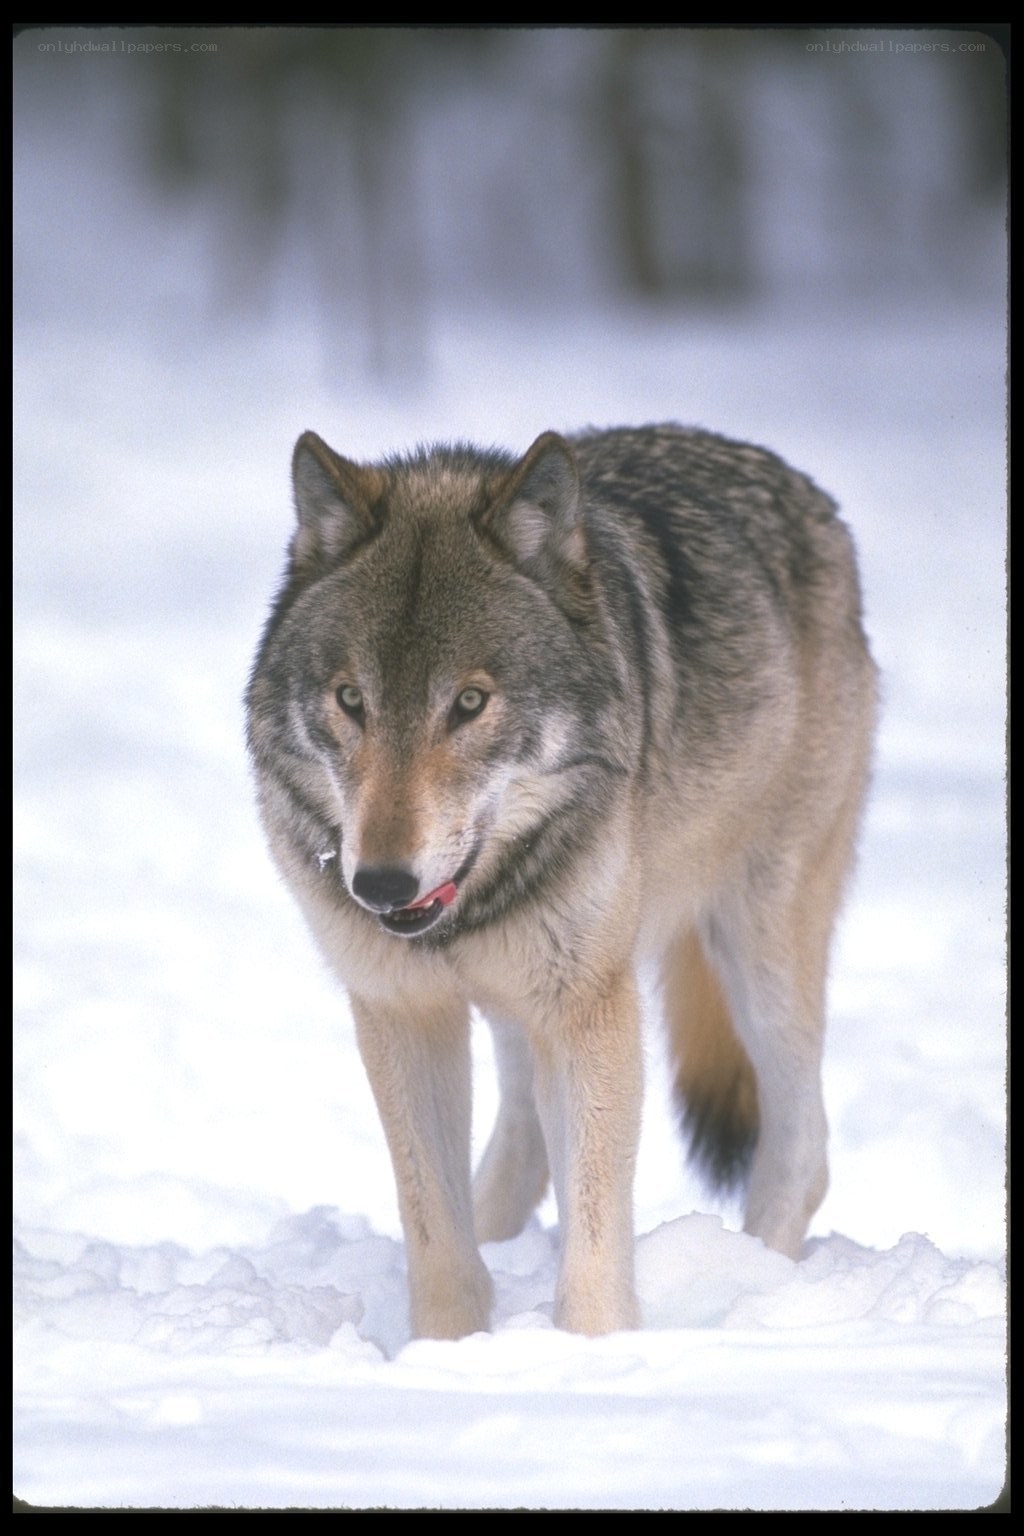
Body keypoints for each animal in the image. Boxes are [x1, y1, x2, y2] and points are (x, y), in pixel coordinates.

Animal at [246, 424, 877, 1340]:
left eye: (471, 702)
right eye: (351, 700)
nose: (383, 885)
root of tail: (806, 492)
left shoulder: (588, 1010)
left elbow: (595, 1226)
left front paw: (588, 1351)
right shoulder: (404, 1010)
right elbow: (434, 1229)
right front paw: (448, 1349)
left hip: (756, 943)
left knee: (803, 1145)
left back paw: (757, 1286)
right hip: (525, 1000)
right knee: (519, 1144)